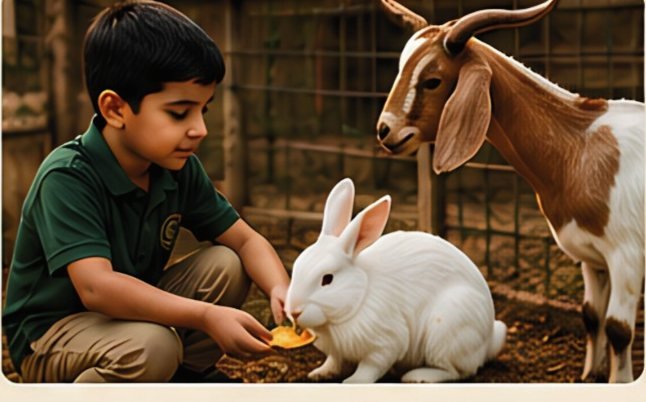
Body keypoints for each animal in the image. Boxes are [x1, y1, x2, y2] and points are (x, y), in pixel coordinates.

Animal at [284, 178, 507, 383]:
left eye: (327, 279)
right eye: (297, 267)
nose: (294, 311)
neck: (360, 296)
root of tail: (488, 339)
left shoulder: (385, 343)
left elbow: (371, 366)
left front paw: (354, 381)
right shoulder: (337, 351)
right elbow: (333, 361)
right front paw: (319, 373)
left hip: (447, 330)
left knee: (456, 371)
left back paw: (417, 376)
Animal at [377, 0, 644, 383]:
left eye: (432, 80)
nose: (385, 131)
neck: (580, 147)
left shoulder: (626, 255)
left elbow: (619, 329)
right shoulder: (593, 258)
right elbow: (592, 317)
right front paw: (589, 377)